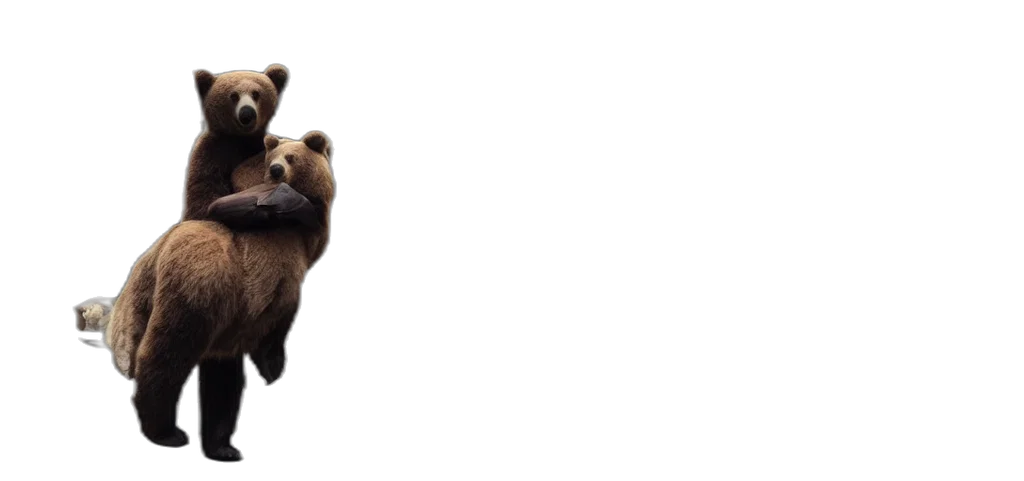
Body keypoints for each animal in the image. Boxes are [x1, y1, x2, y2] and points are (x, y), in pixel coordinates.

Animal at [101, 131, 334, 462]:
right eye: (274, 157)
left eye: (290, 157)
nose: (277, 170)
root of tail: (151, 258)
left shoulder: (302, 250)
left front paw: (271, 366)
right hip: (201, 287)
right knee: (169, 352)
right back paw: (166, 432)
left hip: (226, 320)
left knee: (223, 381)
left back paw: (223, 446)